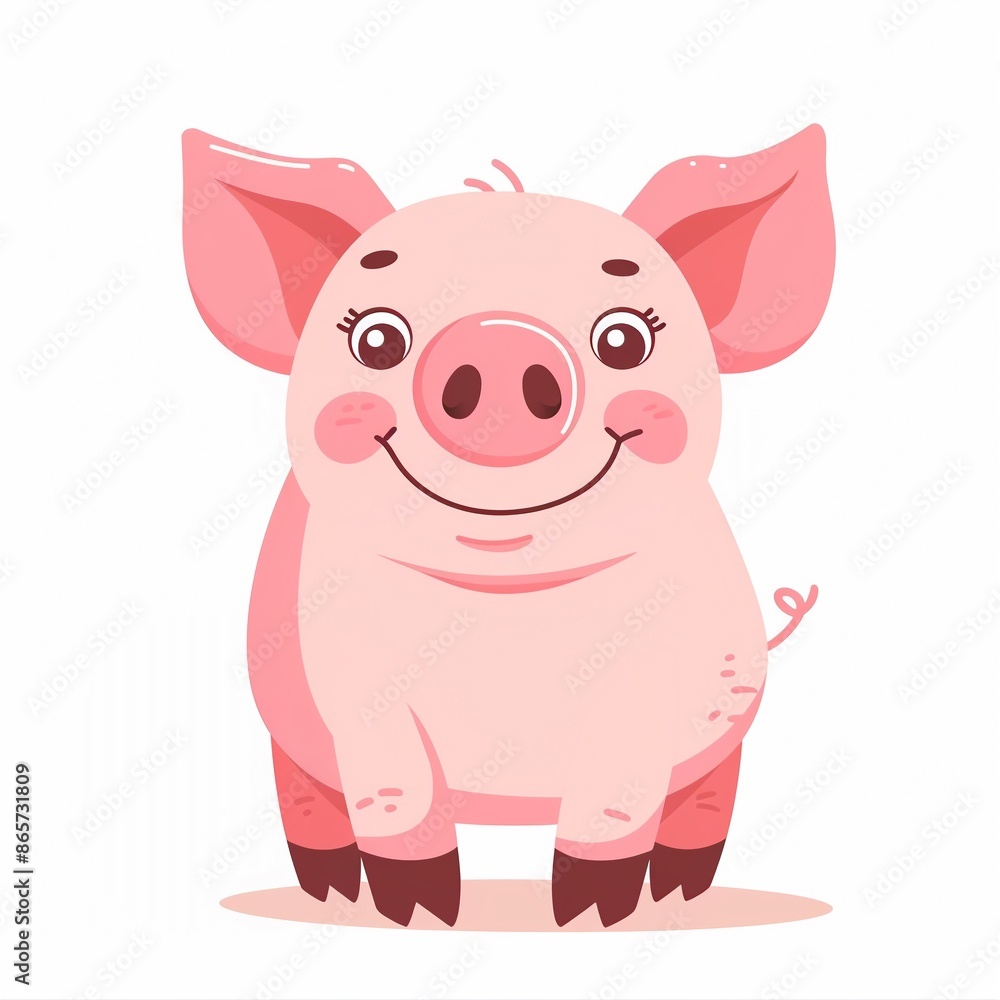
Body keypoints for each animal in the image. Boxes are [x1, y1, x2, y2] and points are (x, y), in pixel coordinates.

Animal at [182, 123, 833, 928]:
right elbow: (397, 796)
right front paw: (419, 913)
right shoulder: (352, 685)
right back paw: (329, 890)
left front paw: (590, 914)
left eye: (625, 340)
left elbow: (613, 802)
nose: (498, 339)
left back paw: (682, 891)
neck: (507, 609)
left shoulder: (651, 694)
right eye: (375, 340)